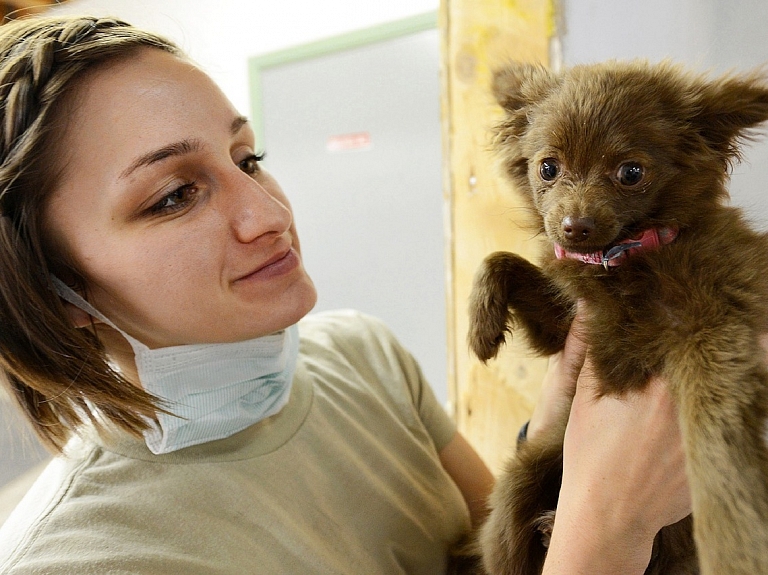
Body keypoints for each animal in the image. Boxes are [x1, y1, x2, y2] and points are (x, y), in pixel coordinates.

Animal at [468, 59, 768, 575]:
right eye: (548, 168)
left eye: (631, 172)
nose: (575, 227)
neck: (625, 260)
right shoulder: (564, 327)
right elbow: (501, 258)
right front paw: (481, 327)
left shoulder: (718, 331)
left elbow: (714, 435)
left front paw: (734, 543)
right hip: (521, 479)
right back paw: (550, 530)